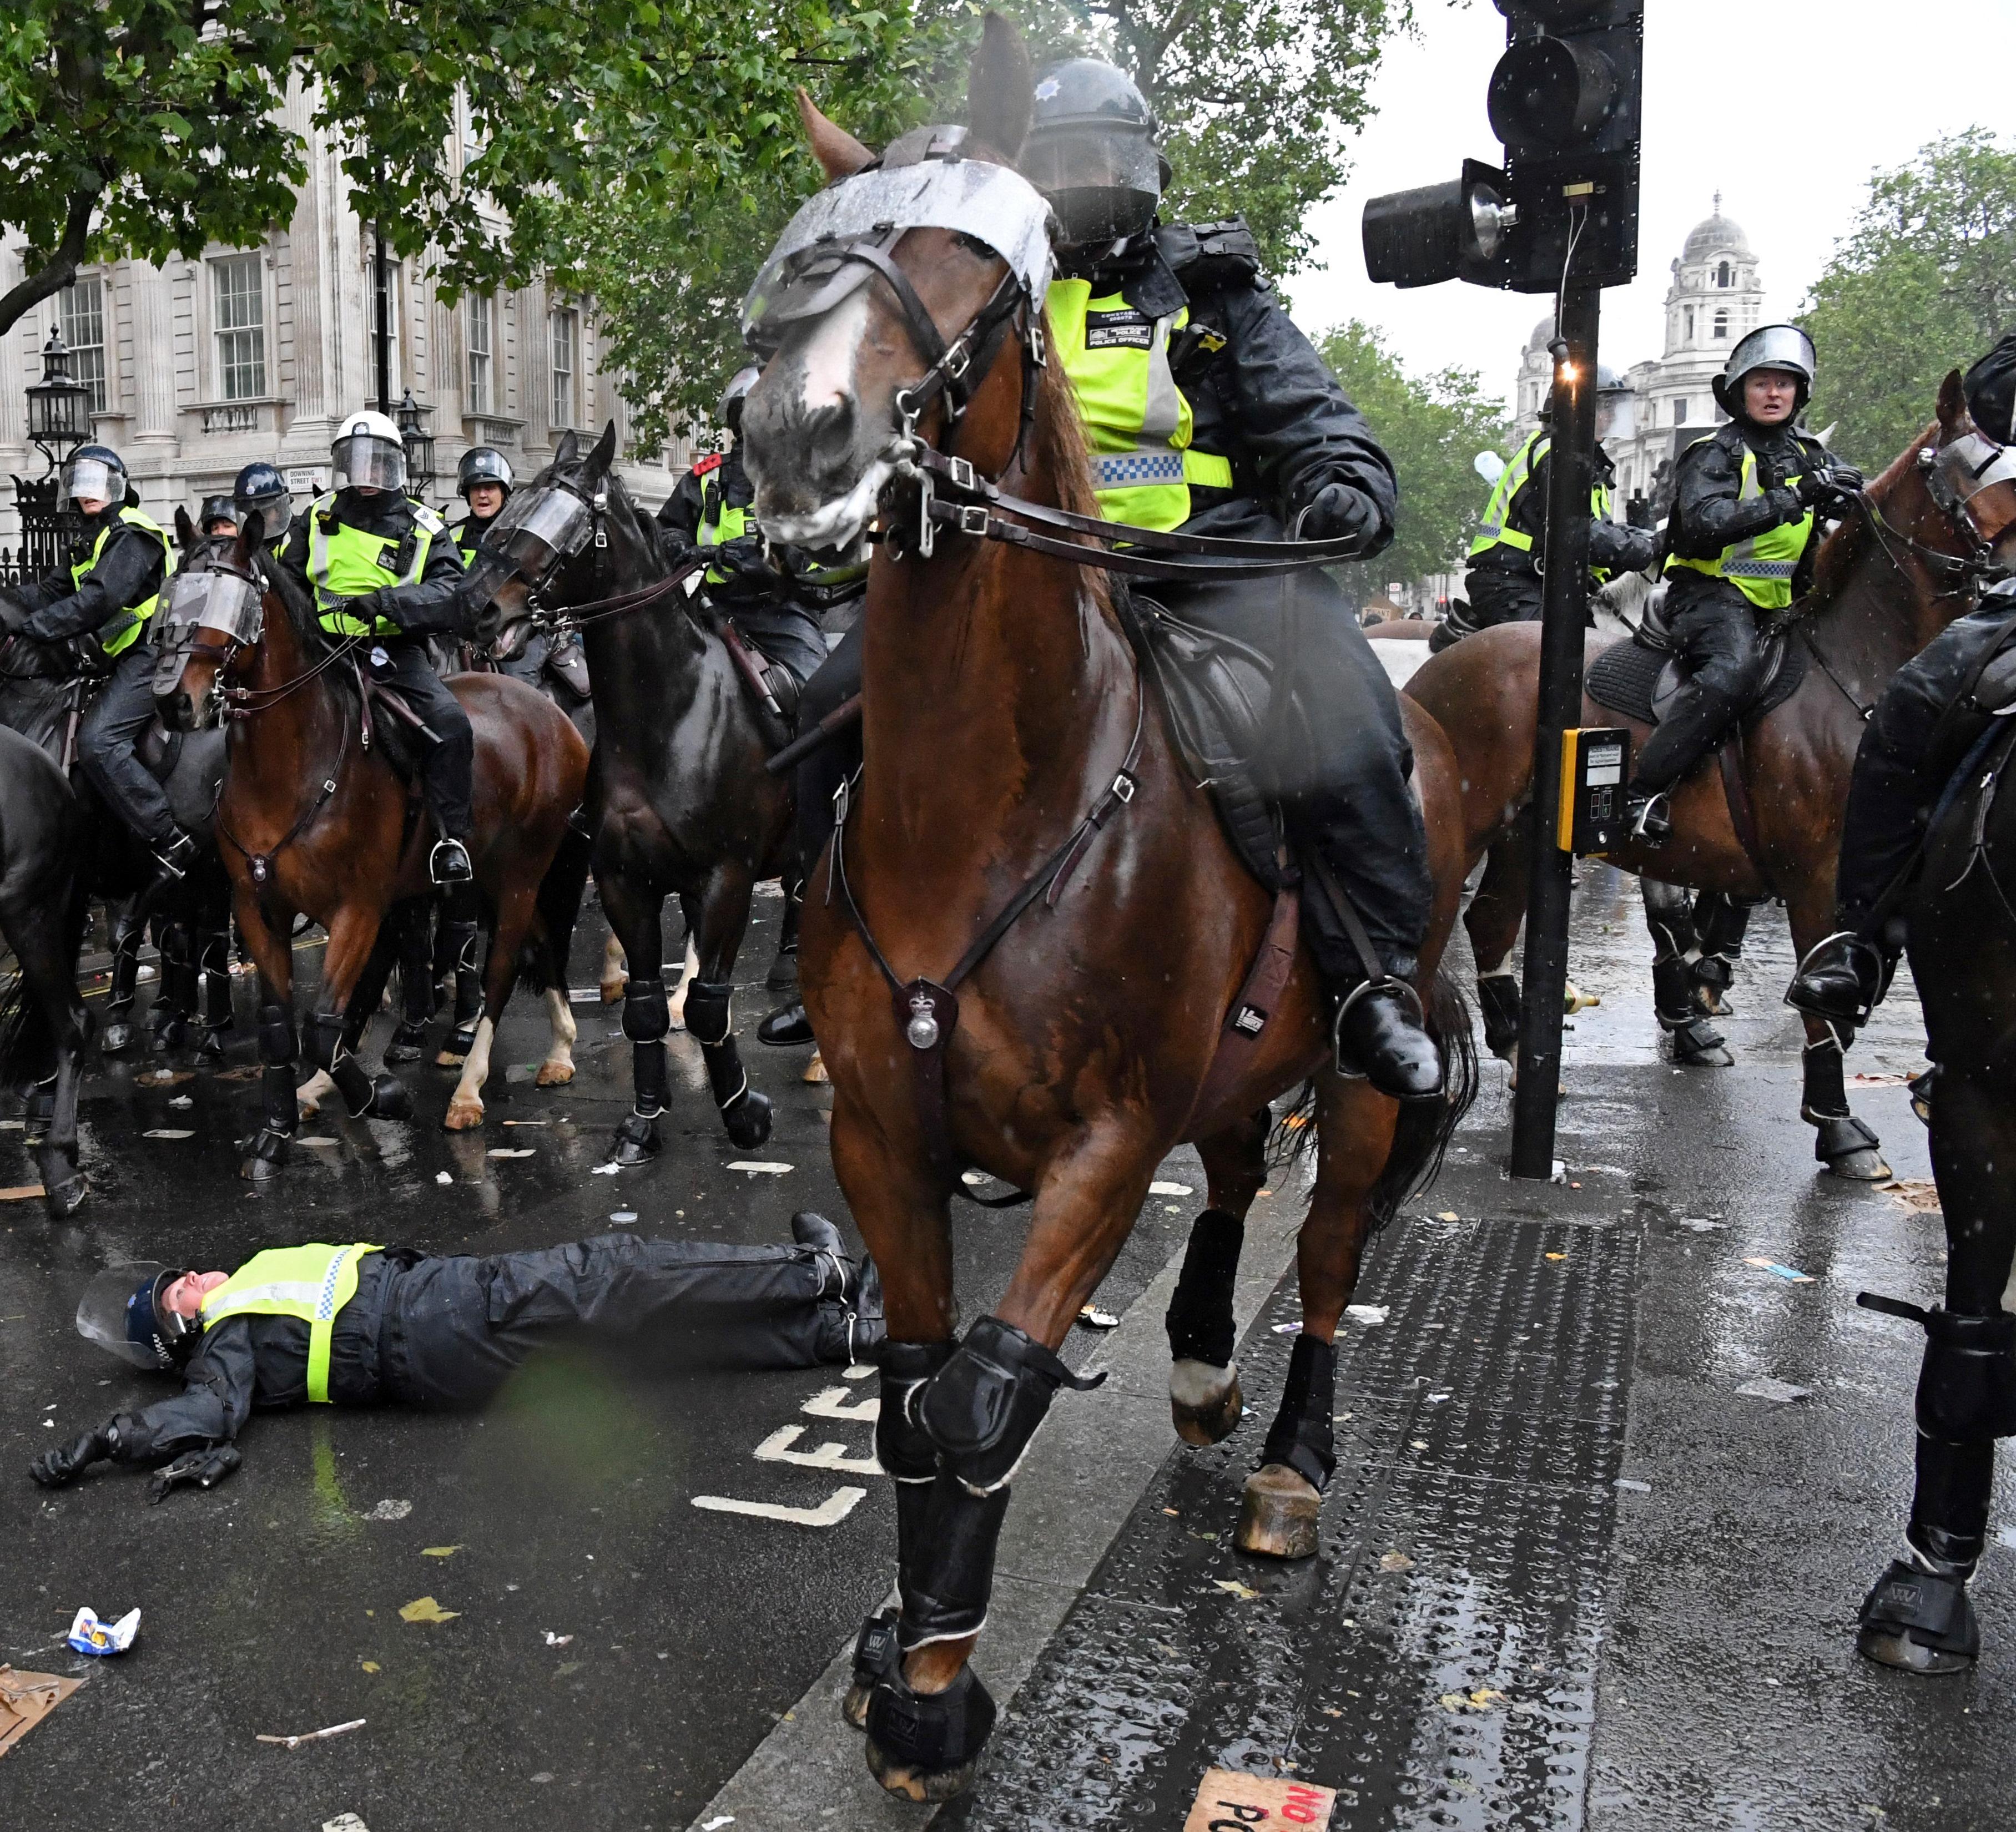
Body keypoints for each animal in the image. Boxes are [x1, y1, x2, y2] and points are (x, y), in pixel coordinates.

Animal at [155, 514, 588, 1169]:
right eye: (174, 593)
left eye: (233, 602)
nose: (178, 701)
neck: (293, 766)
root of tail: (554, 715)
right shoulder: (258, 907)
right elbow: (283, 1024)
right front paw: (277, 1130)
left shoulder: (356, 908)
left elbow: (322, 1023)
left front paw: (382, 1098)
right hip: (494, 874)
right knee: (539, 941)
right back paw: (560, 1047)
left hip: (519, 873)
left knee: (502, 969)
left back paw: (468, 1089)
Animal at [467, 419, 790, 1153]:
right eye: (515, 506)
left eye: (564, 523)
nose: (480, 610)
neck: (668, 717)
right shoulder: (623, 879)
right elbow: (642, 1009)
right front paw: (642, 1122)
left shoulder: (727, 877)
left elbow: (708, 1008)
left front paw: (744, 1111)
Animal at [742, 21, 1484, 1798]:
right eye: (804, 255)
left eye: (979, 281)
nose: (795, 440)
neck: (988, 811)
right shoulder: (879, 1129)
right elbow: (909, 1395)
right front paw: (903, 1650)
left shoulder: (1099, 1139)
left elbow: (982, 1401)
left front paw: (934, 1695)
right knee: (1232, 1174)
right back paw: (1203, 1356)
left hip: (1358, 1064)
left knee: (1331, 1239)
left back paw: (1288, 1457)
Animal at [1403, 378, 2016, 1177]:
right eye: (1970, 470)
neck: (1852, 677)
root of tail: (1450, 653)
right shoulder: (1814, 876)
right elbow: (1806, 993)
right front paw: (1838, 1126)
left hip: (1520, 833)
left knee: (1492, 920)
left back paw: (1514, 1042)